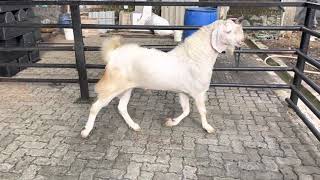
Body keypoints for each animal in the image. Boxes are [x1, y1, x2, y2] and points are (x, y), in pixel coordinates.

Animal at [81, 19, 244, 138]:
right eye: (228, 30)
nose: (243, 39)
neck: (195, 57)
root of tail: (112, 55)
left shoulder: (183, 92)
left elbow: (186, 110)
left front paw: (171, 122)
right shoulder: (199, 93)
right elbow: (202, 111)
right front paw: (208, 127)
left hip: (127, 88)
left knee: (121, 107)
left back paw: (134, 126)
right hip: (112, 87)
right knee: (95, 107)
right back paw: (86, 131)